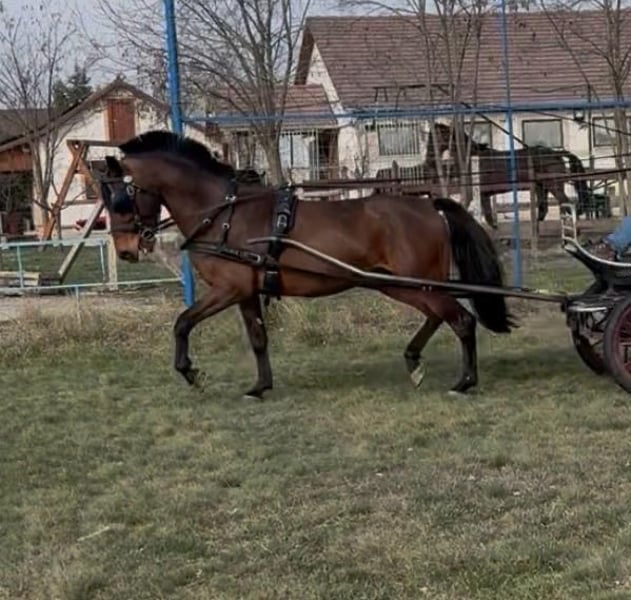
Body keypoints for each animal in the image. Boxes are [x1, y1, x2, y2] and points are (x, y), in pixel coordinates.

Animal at [98, 129, 516, 399]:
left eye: (120, 199)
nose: (127, 249)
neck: (223, 214)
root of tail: (430, 205)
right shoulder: (246, 292)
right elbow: (258, 338)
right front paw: (259, 387)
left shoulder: (228, 289)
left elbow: (182, 322)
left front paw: (191, 373)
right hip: (397, 283)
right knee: (437, 316)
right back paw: (414, 362)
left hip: (414, 282)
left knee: (461, 320)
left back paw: (464, 382)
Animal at [424, 123, 589, 229]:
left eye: (433, 139)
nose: (428, 160)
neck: (471, 158)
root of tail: (556, 154)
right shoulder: (484, 195)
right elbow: (489, 218)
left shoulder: (472, 193)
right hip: (541, 188)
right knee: (545, 209)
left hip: (554, 187)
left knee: (566, 205)